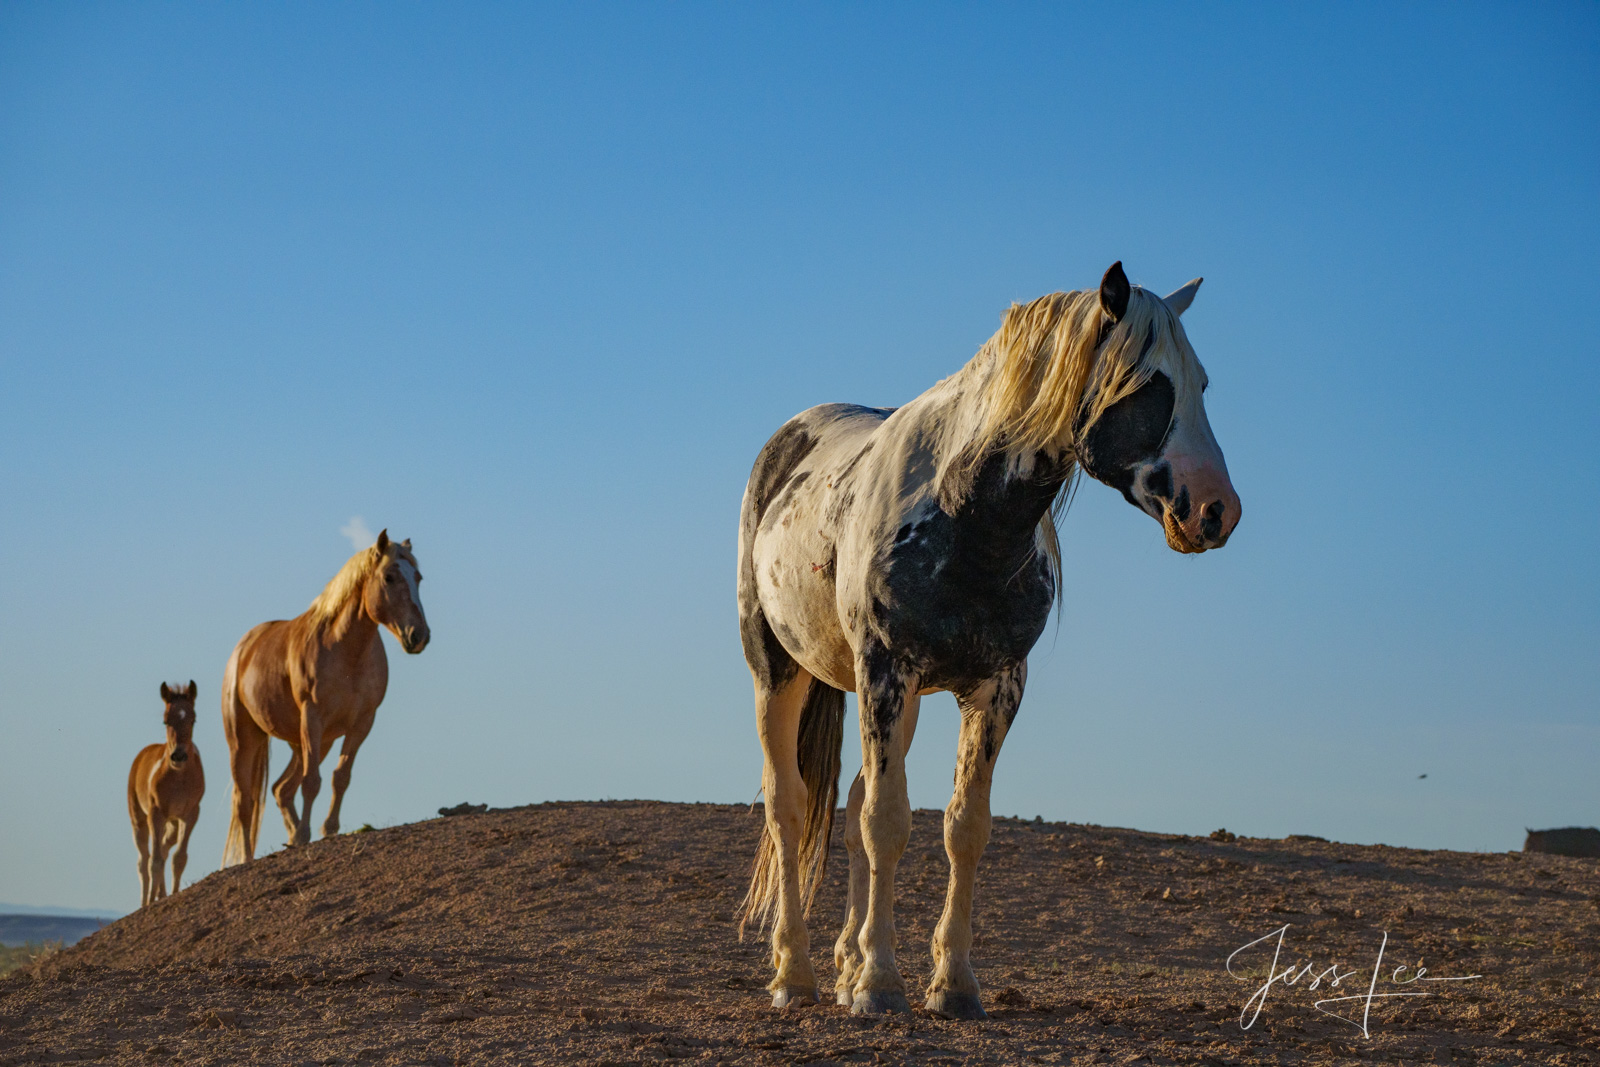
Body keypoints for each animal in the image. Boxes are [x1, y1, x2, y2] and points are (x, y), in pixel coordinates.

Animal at [125, 684, 204, 908]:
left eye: (193, 719)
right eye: (166, 720)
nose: (178, 756)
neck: (179, 777)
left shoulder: (190, 814)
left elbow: (179, 858)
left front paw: (174, 893)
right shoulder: (156, 813)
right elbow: (155, 861)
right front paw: (151, 901)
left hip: (173, 825)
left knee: (164, 849)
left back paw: (162, 894)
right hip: (140, 821)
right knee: (144, 860)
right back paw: (146, 901)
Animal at [222, 531, 432, 863]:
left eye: (418, 577)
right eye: (389, 577)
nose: (419, 636)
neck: (346, 651)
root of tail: (244, 648)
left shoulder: (362, 723)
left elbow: (340, 776)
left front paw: (327, 830)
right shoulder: (313, 718)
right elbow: (312, 782)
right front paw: (305, 836)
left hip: (310, 742)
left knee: (281, 789)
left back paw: (290, 837)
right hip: (245, 739)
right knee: (246, 801)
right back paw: (248, 856)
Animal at [732, 265, 1241, 1017]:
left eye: (1202, 382)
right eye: (1147, 384)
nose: (1217, 509)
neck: (963, 515)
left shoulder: (996, 687)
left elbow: (962, 827)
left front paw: (951, 984)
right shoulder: (886, 672)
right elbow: (888, 820)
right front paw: (881, 984)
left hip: (896, 699)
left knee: (846, 811)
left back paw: (843, 964)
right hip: (779, 672)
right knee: (789, 807)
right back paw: (793, 973)